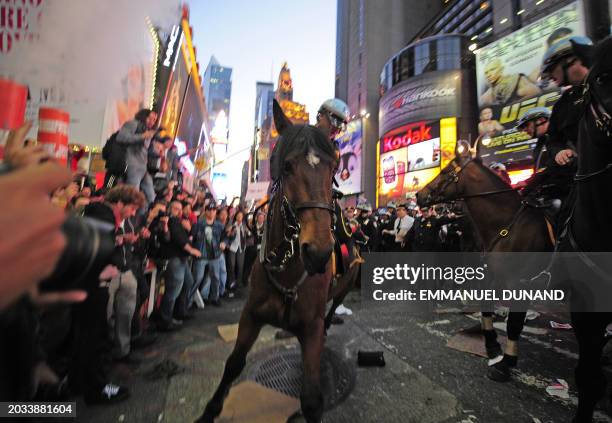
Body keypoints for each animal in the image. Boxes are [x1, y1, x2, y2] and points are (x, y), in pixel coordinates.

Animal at [196, 101, 338, 422]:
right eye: (286, 166)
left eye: (334, 167)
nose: (319, 252)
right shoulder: (250, 315)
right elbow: (234, 363)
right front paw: (210, 410)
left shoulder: (312, 327)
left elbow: (312, 399)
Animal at [416, 142, 556, 380]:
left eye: (445, 171)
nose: (418, 195)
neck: (510, 225)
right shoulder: (493, 275)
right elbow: (485, 308)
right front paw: (492, 346)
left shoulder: (520, 284)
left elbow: (514, 324)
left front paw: (507, 362)